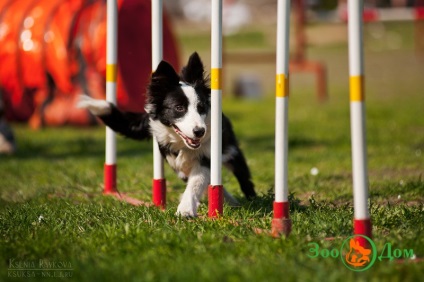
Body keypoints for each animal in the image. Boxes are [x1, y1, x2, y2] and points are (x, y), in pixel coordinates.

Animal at [78, 52, 256, 216]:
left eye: (201, 107)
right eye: (179, 108)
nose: (200, 132)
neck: (183, 145)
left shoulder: (207, 155)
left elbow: (197, 181)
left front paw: (185, 210)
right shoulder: (177, 163)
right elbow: (198, 181)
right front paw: (189, 208)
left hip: (230, 149)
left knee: (242, 174)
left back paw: (248, 199)